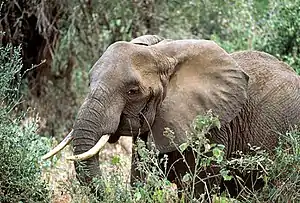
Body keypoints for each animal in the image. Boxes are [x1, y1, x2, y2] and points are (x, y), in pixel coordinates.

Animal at [42, 34, 300, 197]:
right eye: (88, 81)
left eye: (132, 91)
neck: (162, 54)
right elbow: (140, 180)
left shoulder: (211, 127)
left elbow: (197, 189)